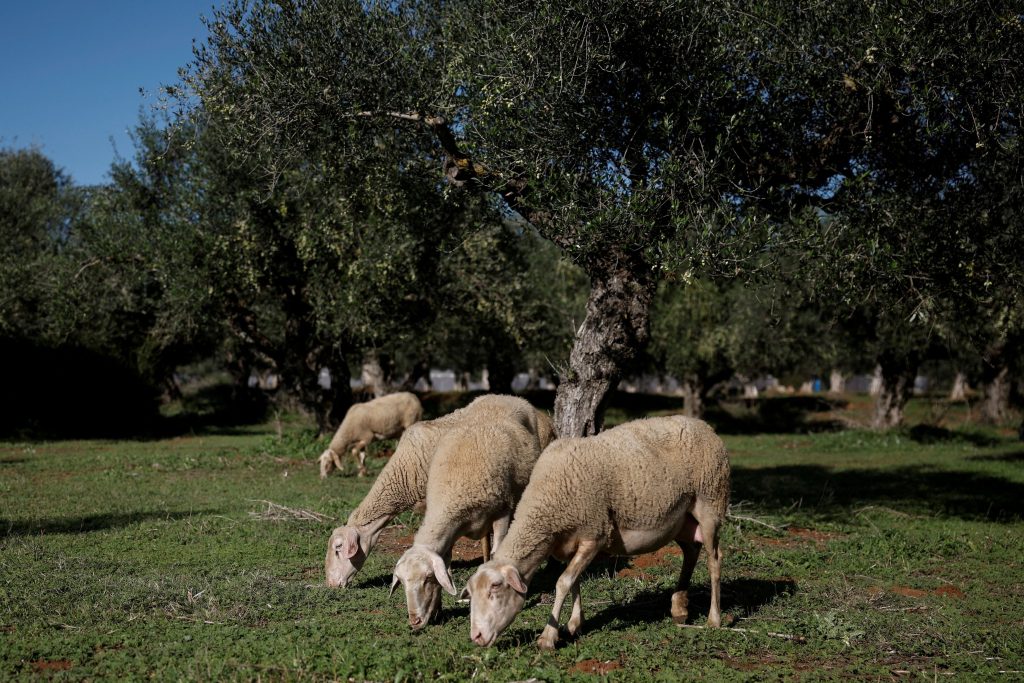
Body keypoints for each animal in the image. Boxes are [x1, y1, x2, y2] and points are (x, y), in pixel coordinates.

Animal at [390, 414, 544, 629]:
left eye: (428, 578)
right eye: (402, 582)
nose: (415, 621)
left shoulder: (502, 513)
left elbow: (498, 552)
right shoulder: (451, 531)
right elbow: (447, 566)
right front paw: (438, 610)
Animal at [463, 415, 730, 649]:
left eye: (495, 587)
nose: (476, 637)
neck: (546, 505)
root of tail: (705, 425)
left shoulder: (594, 535)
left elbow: (563, 582)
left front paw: (548, 637)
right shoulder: (570, 542)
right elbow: (574, 581)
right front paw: (574, 624)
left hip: (710, 502)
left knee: (714, 559)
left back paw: (713, 619)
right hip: (682, 520)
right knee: (691, 551)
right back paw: (679, 607)